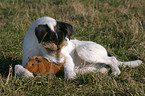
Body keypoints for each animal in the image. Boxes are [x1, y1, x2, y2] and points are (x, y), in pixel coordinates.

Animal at [14, 16, 142, 79]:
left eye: (63, 45)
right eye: (49, 48)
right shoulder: (26, 60)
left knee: (112, 60)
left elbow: (67, 65)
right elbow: (17, 67)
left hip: (84, 51)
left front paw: (69, 75)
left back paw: (115, 71)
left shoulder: (66, 57)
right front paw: (26, 74)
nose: (58, 64)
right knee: (102, 66)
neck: (39, 48)